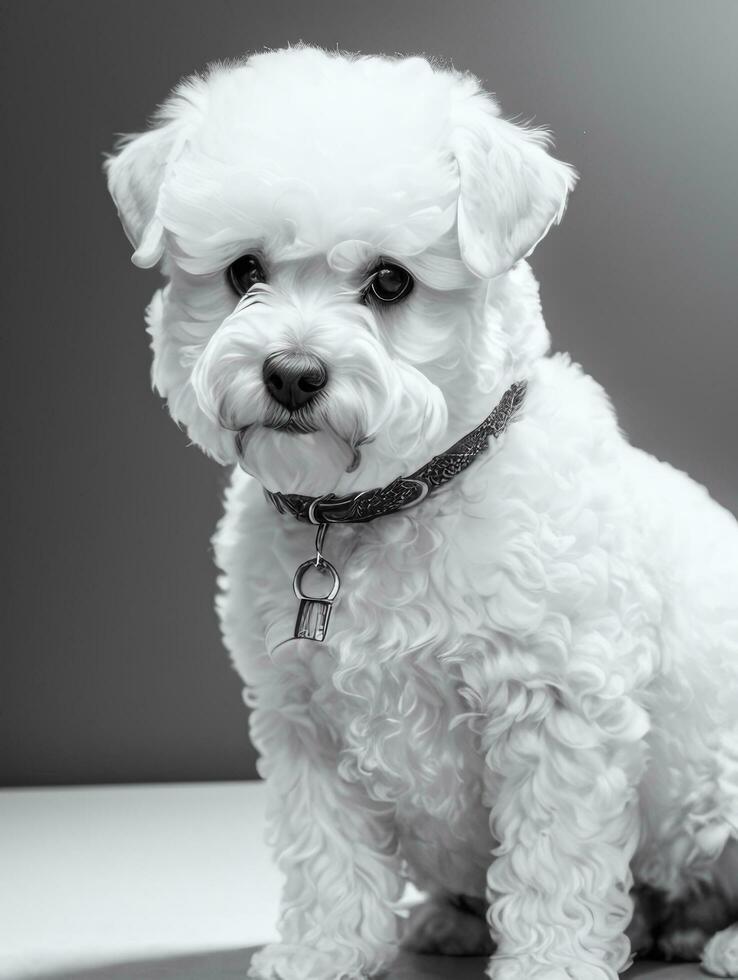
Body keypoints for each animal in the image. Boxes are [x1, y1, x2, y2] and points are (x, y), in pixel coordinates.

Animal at [103, 42, 736, 976]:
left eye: (391, 281)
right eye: (244, 272)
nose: (293, 373)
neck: (372, 512)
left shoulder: (555, 712)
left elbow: (551, 863)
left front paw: (548, 964)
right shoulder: (305, 724)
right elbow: (327, 860)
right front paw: (318, 954)